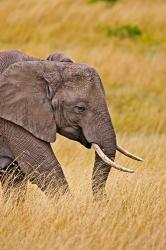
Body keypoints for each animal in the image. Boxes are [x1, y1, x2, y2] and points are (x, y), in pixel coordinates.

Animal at [0, 49, 143, 200]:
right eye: (80, 108)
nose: (105, 200)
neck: (42, 65)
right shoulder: (11, 118)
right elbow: (44, 167)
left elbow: (14, 176)